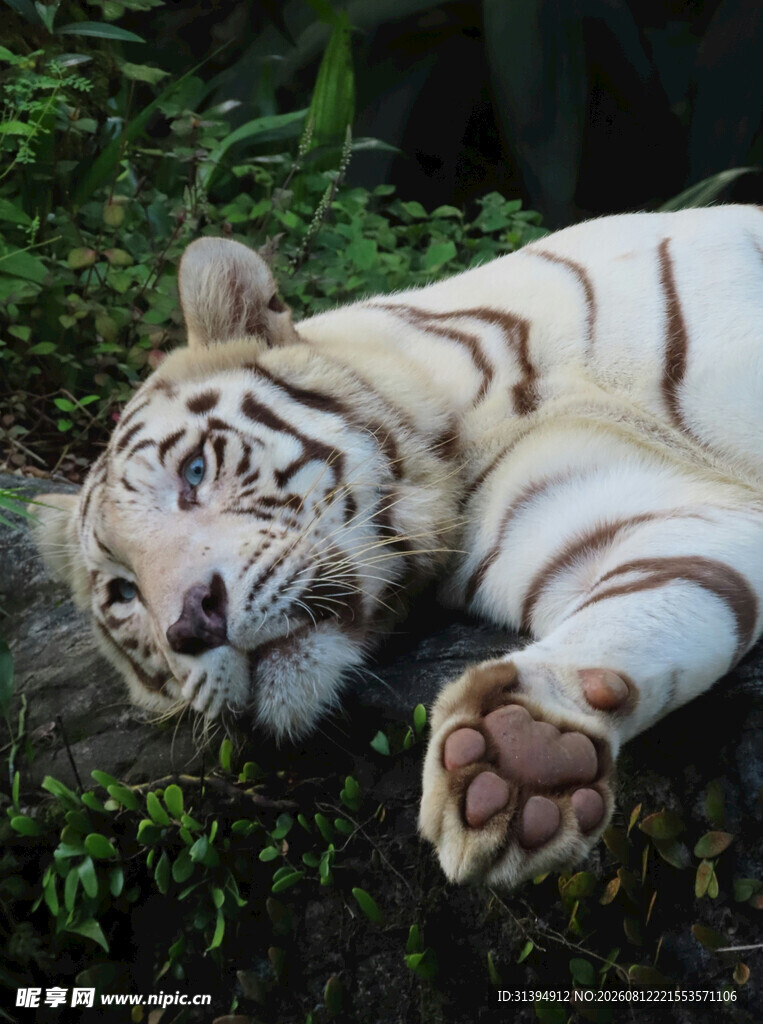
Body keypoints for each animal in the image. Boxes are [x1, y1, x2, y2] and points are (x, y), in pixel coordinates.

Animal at [31, 204, 763, 891]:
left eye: (193, 470)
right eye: (123, 592)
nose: (191, 624)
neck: (461, 428)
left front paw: (525, 752)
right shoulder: (625, 519)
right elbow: (666, 592)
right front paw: (526, 752)